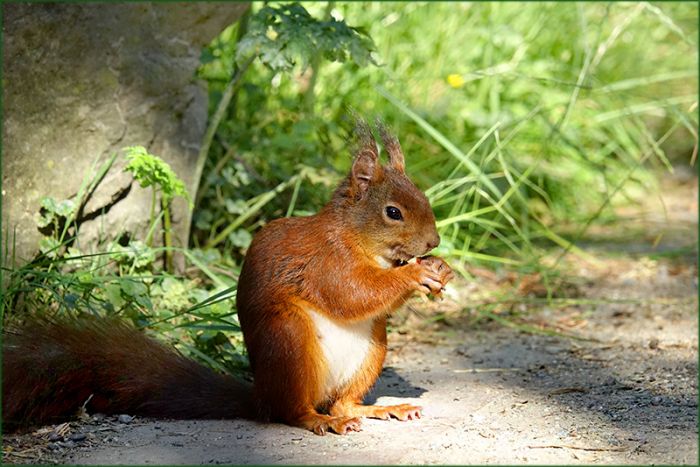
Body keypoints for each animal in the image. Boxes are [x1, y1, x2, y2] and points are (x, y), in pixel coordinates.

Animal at [2, 118, 454, 436]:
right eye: (393, 212)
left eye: (424, 198)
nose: (433, 242)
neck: (358, 240)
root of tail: (260, 397)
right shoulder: (325, 260)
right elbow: (351, 292)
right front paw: (417, 273)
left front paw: (440, 269)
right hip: (289, 339)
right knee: (292, 411)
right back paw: (320, 420)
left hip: (372, 348)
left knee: (343, 401)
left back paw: (380, 408)